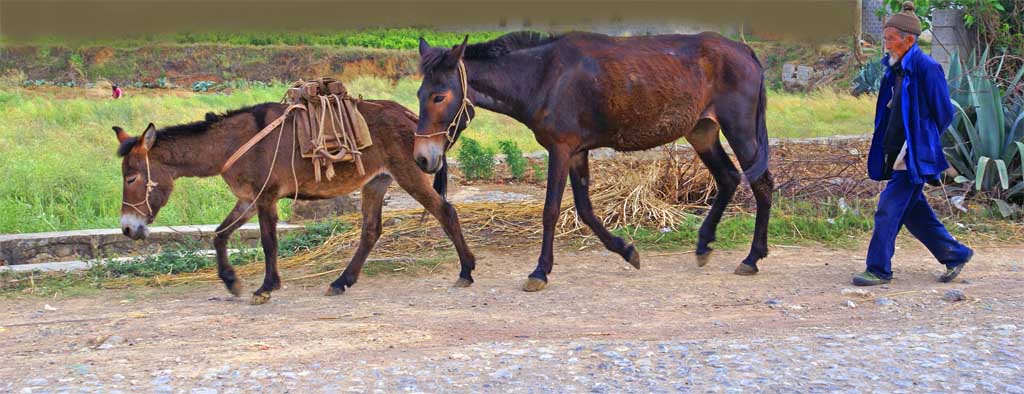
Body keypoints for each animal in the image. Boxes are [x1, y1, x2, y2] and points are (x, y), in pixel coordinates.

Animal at [115, 99, 475, 302]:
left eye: (131, 178)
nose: (127, 229)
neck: (232, 143)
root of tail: (411, 116)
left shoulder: (265, 198)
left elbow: (268, 242)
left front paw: (266, 287)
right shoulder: (247, 200)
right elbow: (220, 235)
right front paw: (231, 282)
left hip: (409, 174)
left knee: (446, 211)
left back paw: (466, 271)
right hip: (376, 181)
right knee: (371, 231)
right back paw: (341, 282)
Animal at [411, 31, 770, 290]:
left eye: (439, 96)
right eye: (419, 94)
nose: (423, 158)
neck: (543, 76)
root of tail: (745, 51)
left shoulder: (561, 149)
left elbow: (551, 210)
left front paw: (539, 272)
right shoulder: (577, 152)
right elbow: (584, 209)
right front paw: (627, 251)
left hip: (738, 129)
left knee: (762, 184)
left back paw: (752, 258)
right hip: (702, 131)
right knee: (728, 178)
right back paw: (704, 245)